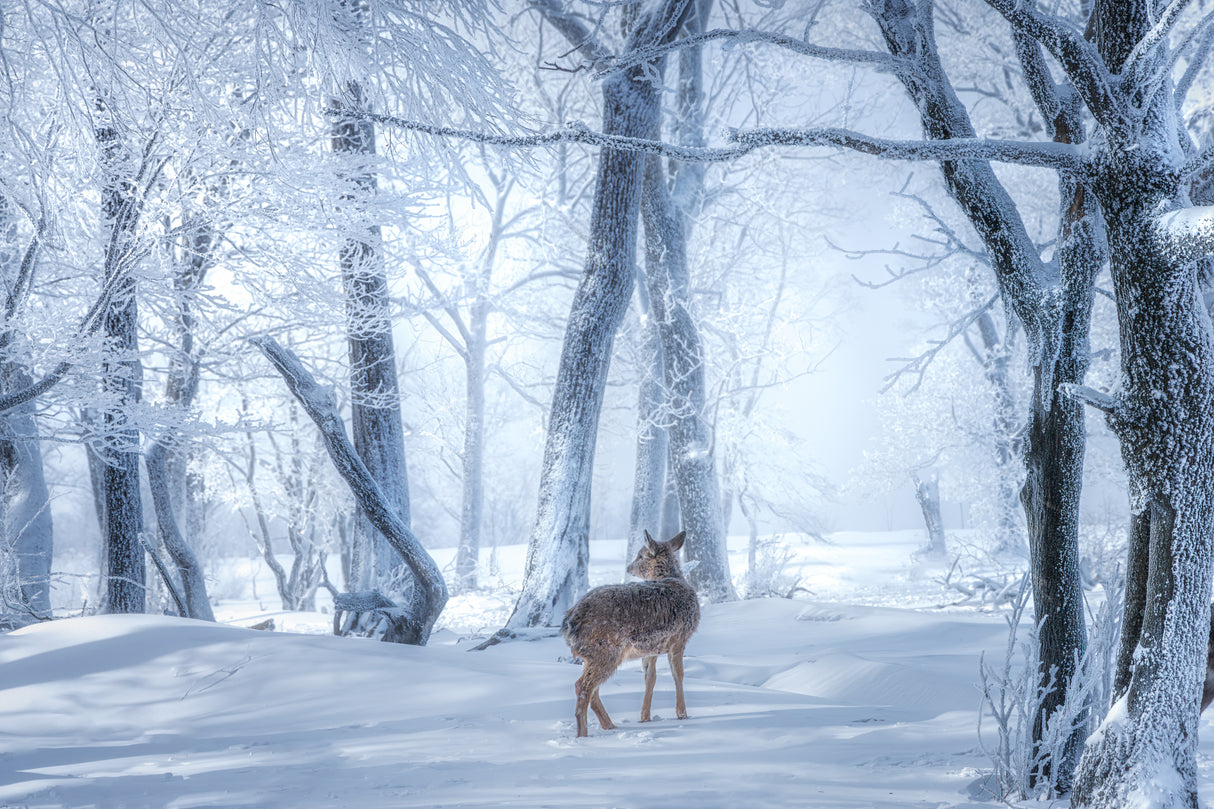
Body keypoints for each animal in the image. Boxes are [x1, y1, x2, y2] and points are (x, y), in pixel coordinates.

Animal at [561, 530, 700, 738]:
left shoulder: (651, 649)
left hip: (594, 655)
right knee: (583, 687)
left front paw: (645, 717)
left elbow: (650, 678)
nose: (628, 567)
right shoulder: (679, 638)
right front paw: (682, 714)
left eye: (640, 556)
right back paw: (583, 735)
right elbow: (678, 675)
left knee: (591, 689)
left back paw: (610, 725)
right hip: (605, 650)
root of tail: (568, 624)